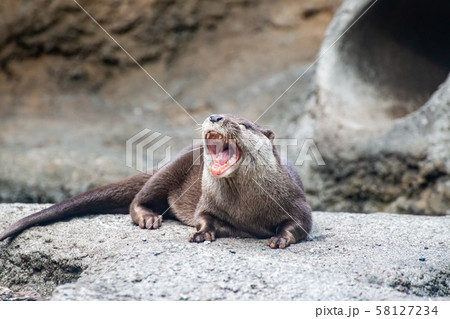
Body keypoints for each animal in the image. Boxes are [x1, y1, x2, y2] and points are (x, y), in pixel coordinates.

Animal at [0, 115, 312, 250]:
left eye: (244, 125)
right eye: (221, 113)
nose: (216, 116)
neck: (246, 209)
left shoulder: (297, 201)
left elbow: (299, 225)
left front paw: (280, 237)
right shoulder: (207, 202)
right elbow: (203, 218)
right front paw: (202, 233)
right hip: (170, 170)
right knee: (138, 199)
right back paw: (148, 218)